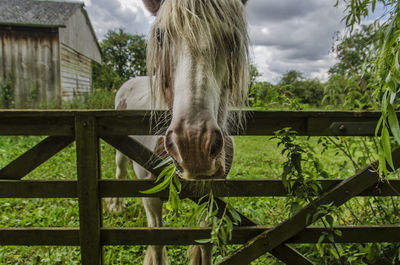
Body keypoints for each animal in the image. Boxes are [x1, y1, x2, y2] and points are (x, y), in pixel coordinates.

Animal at [106, 1, 250, 262]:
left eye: (234, 39)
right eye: (160, 36)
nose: (194, 144)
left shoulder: (211, 196)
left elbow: (205, 244)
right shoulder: (151, 198)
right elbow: (157, 245)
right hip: (121, 152)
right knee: (120, 172)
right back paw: (117, 206)